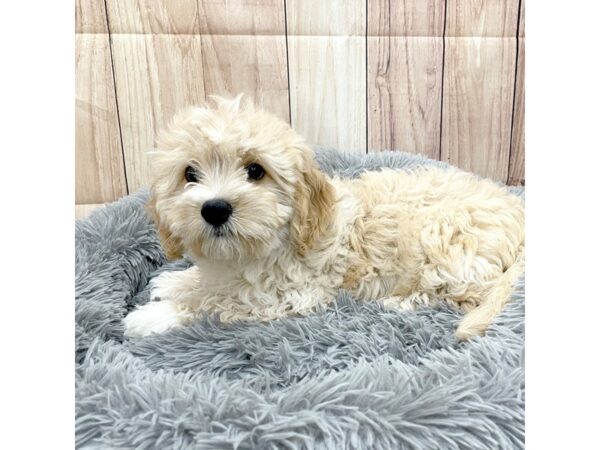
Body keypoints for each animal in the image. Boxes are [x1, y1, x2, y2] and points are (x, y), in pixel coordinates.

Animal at [124, 96, 524, 342]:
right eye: (190, 174)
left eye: (255, 171)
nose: (215, 209)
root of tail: (519, 213)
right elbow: (208, 285)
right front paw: (177, 281)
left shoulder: (288, 294)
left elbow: (216, 304)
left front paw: (154, 315)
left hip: (447, 246)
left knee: (470, 296)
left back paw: (400, 302)